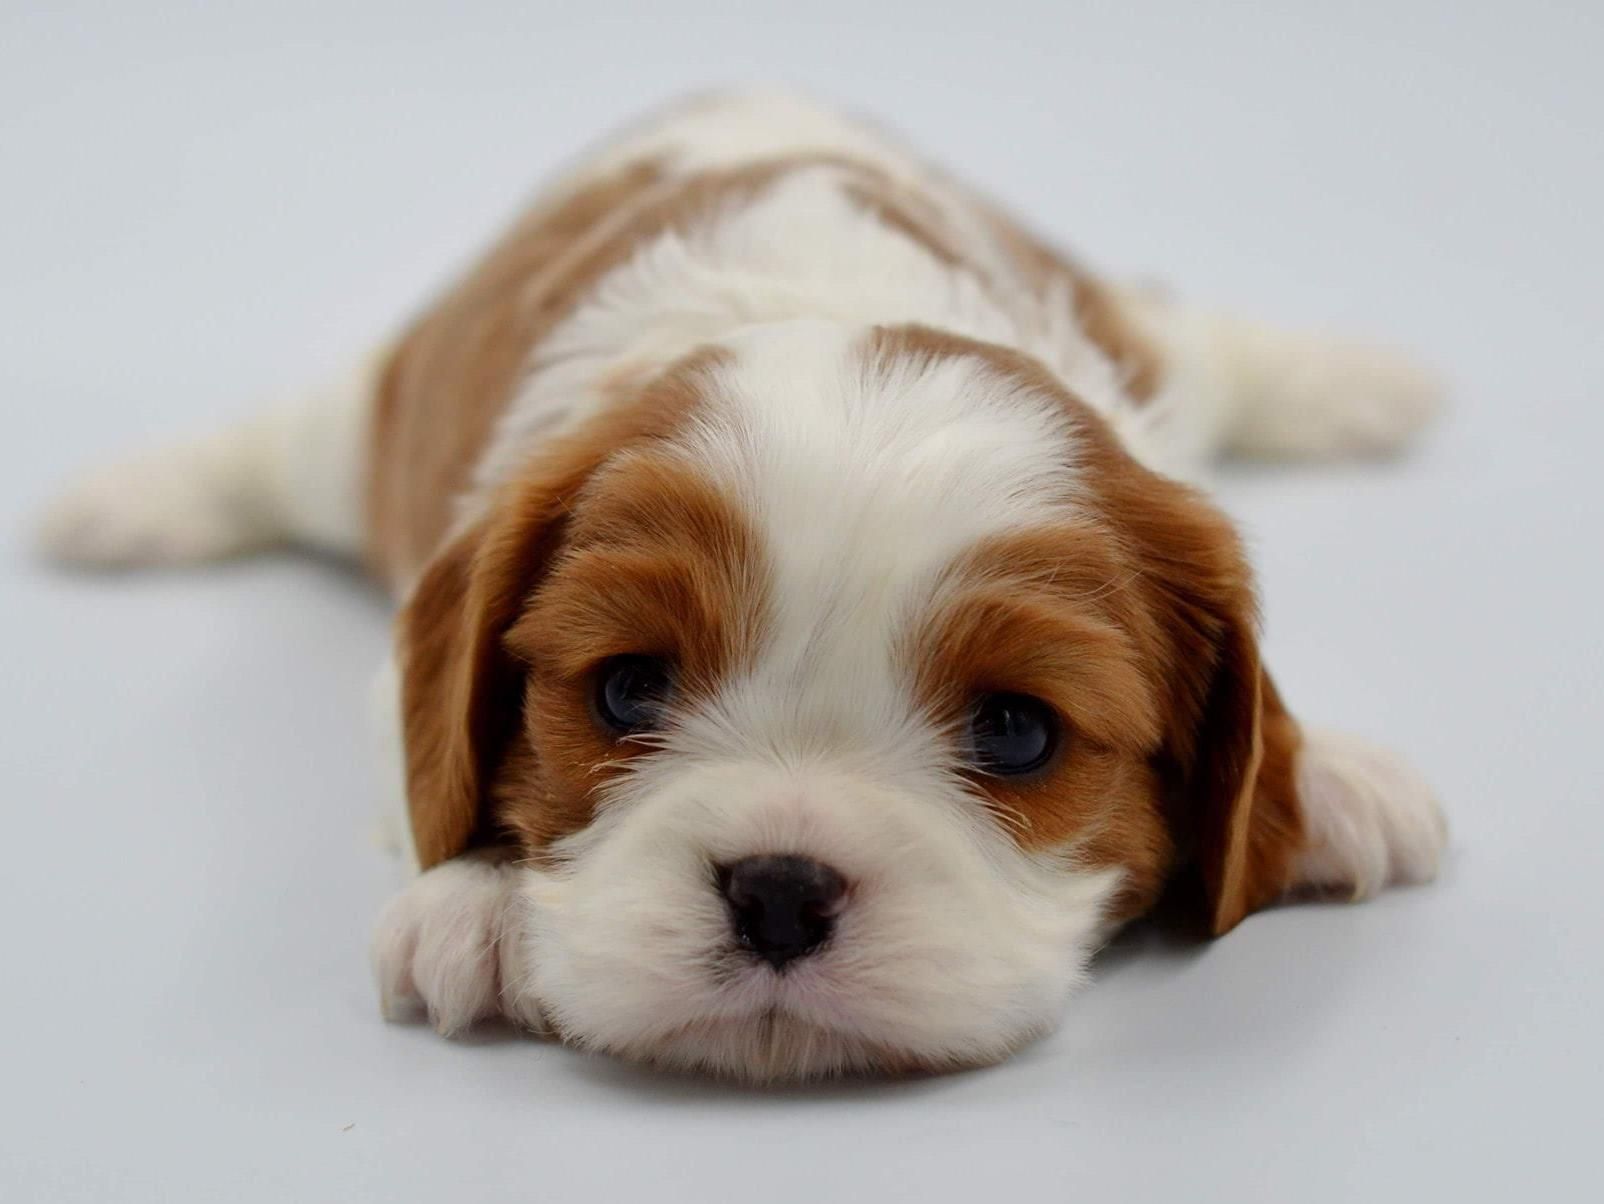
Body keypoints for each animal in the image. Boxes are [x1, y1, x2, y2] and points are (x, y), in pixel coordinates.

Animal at [39, 92, 1448, 1081]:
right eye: (626, 691)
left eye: (1015, 730)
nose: (779, 891)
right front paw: (483, 897)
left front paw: (1325, 776)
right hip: (374, 421)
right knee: (286, 439)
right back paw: (120, 504)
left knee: (1191, 333)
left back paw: (1353, 382)